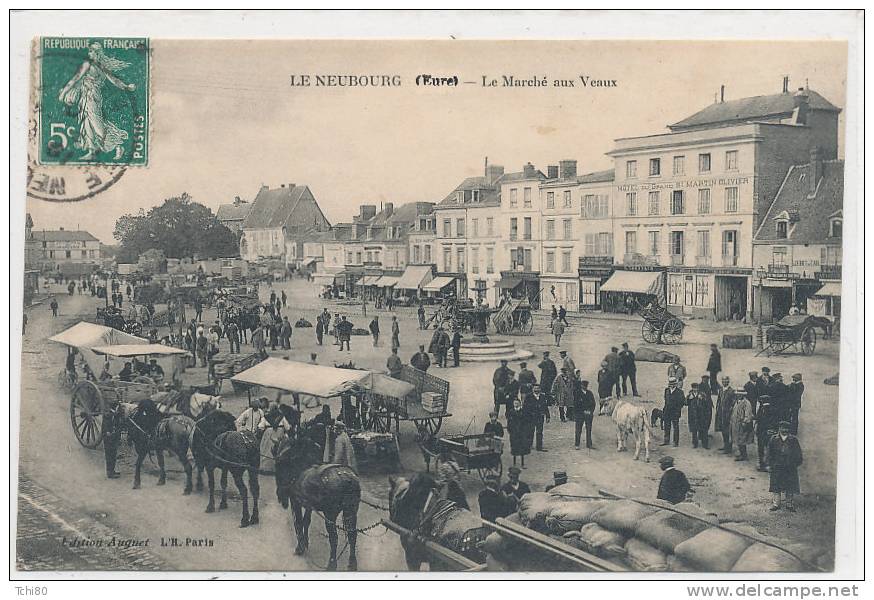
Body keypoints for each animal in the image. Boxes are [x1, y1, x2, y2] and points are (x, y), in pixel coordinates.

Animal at [270, 422, 358, 572]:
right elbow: (307, 521)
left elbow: (299, 522)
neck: (301, 467)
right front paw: (305, 542)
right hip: (351, 511)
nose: (281, 495)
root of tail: (347, 479)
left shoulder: (296, 502)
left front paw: (300, 547)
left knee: (334, 538)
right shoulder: (309, 505)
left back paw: (332, 564)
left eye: (280, 463)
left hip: (330, 514)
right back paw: (352, 563)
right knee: (352, 534)